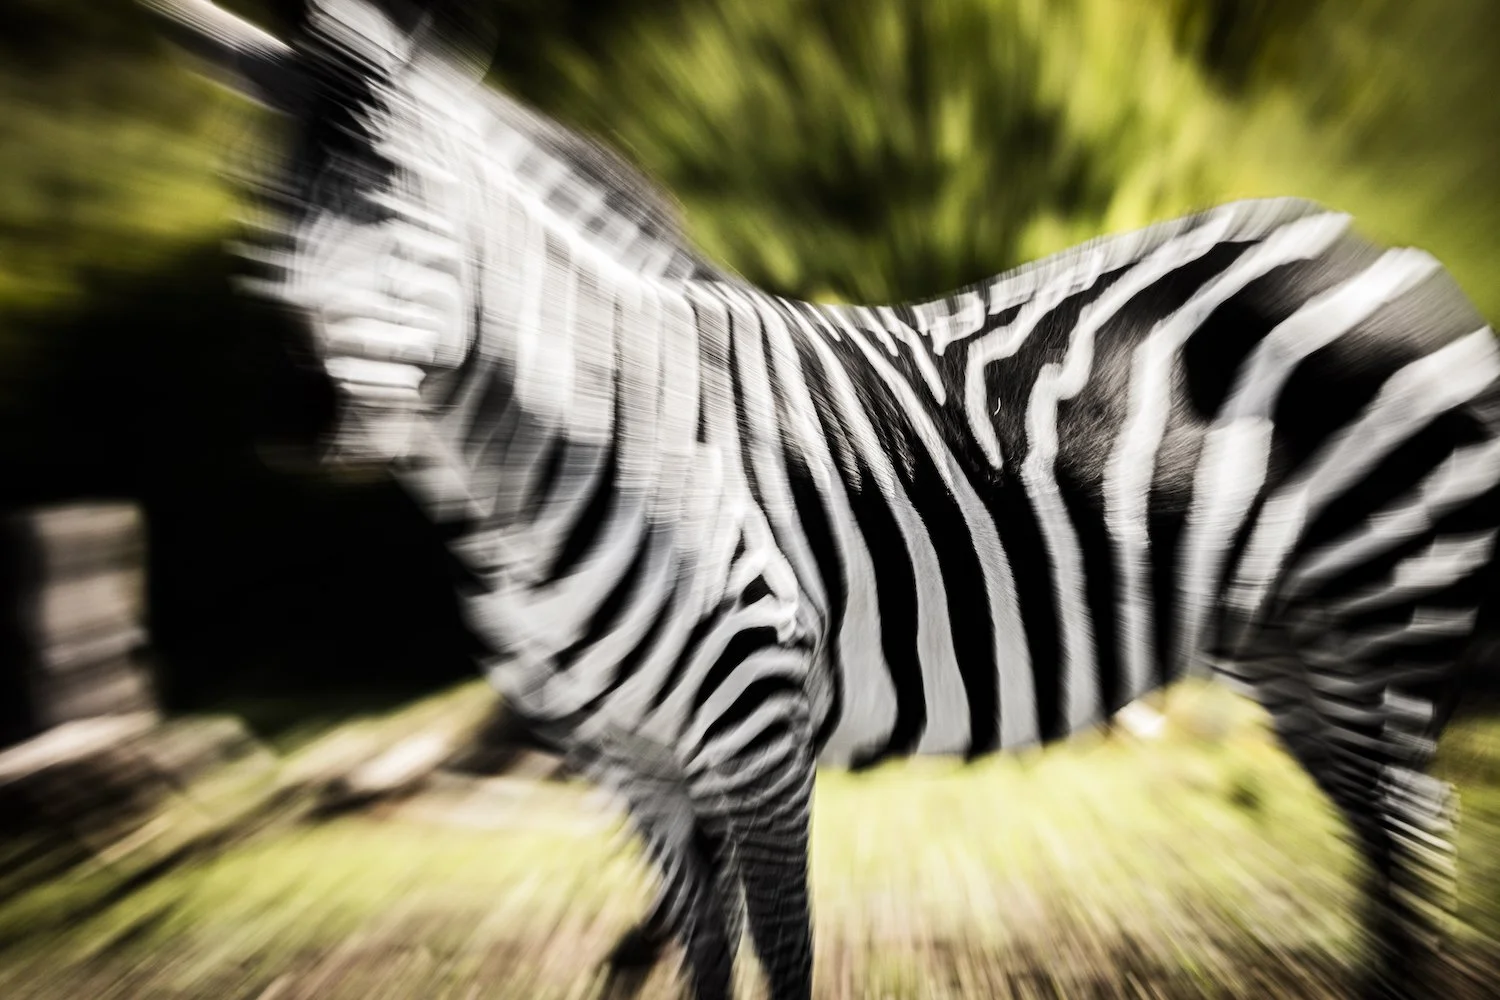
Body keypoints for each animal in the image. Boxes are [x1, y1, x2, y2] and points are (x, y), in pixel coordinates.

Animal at [144, 1, 1500, 997]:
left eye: (403, 193)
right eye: (264, 205)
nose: (313, 417)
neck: (552, 468)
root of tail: (1360, 237)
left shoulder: (757, 729)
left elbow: (782, 951)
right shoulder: (638, 771)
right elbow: (701, 959)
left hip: (1388, 595)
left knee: (1409, 830)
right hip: (1291, 637)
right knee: (1388, 836)